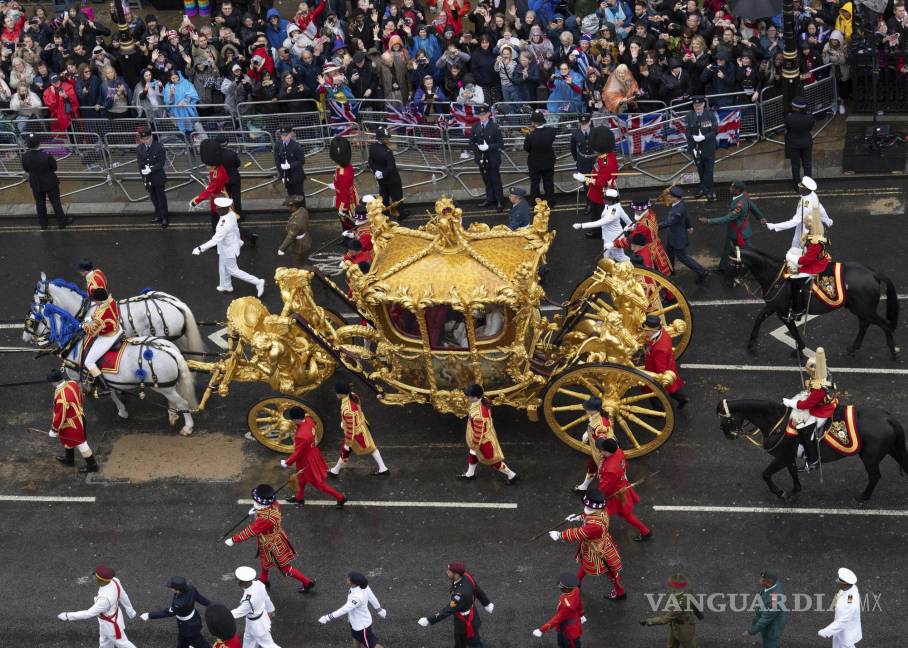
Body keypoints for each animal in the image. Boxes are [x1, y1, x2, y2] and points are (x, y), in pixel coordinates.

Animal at [37, 304, 199, 436]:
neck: (76, 343)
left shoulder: (78, 378)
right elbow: (113, 394)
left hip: (165, 387)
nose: (36, 343)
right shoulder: (108, 379)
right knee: (174, 400)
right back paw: (173, 414)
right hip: (168, 386)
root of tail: (171, 350)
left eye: (35, 320)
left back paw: (187, 427)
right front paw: (122, 410)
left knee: (183, 403)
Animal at [716, 400, 908, 502]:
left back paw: (863, 497)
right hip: (891, 450)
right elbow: (793, 472)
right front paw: (795, 490)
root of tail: (889, 418)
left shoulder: (782, 456)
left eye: (726, 420)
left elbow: (766, 474)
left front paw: (780, 493)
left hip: (869, 458)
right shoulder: (788, 456)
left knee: (875, 476)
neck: (776, 422)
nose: (728, 436)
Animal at [732, 248, 900, 360]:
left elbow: (792, 330)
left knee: (884, 324)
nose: (732, 284)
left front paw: (799, 348)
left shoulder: (783, 312)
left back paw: (893, 351)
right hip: (859, 308)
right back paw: (853, 348)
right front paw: (751, 344)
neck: (775, 276)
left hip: (865, 309)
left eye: (732, 265)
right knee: (864, 325)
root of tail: (873, 273)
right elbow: (759, 319)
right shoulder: (773, 307)